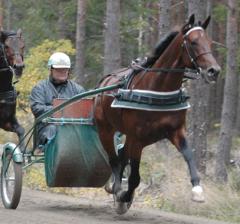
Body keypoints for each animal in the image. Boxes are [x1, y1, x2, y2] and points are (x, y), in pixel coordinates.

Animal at [93, 14, 219, 214]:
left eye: (210, 42)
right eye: (193, 42)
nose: (214, 71)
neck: (157, 89)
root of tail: (104, 82)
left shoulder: (176, 131)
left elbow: (189, 156)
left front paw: (197, 190)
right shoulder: (137, 138)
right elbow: (135, 178)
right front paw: (123, 196)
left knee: (122, 156)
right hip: (105, 129)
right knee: (114, 160)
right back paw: (117, 188)